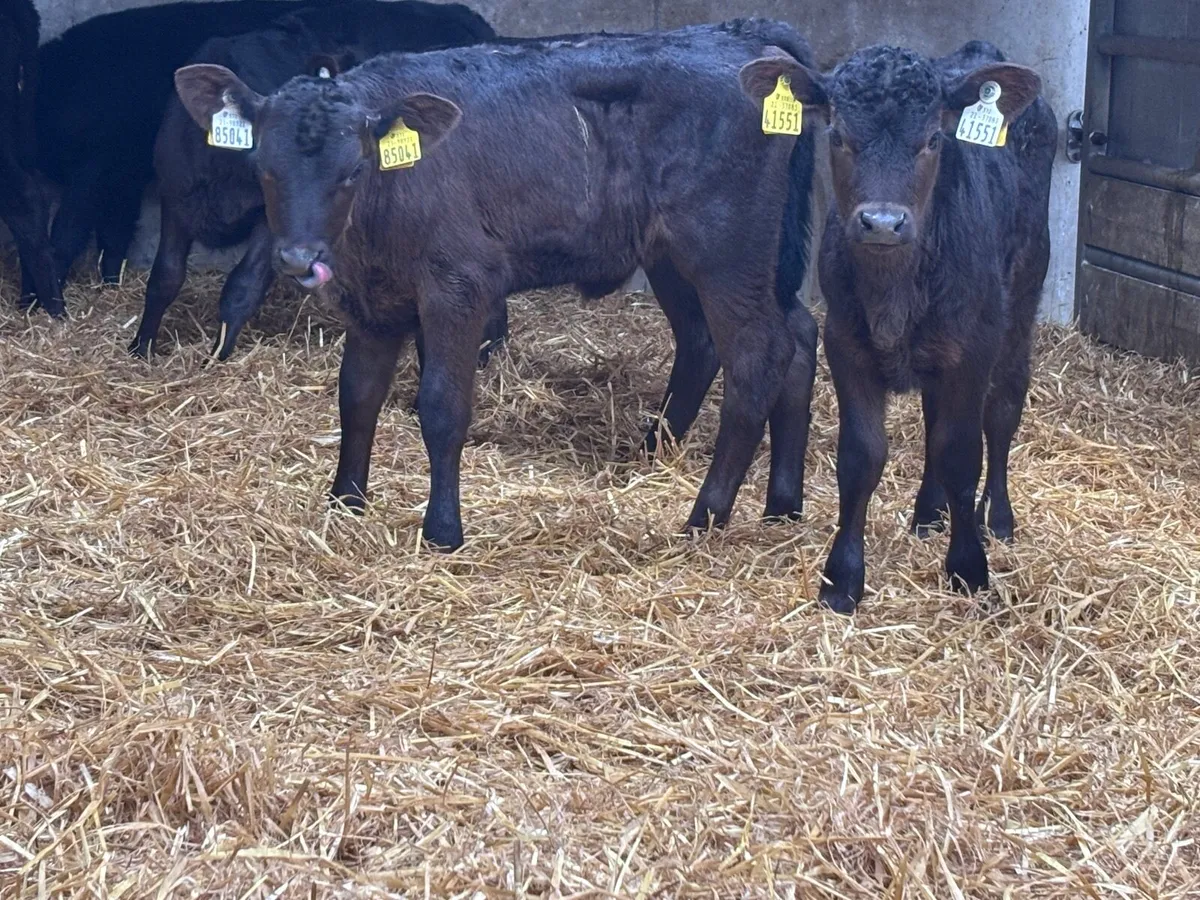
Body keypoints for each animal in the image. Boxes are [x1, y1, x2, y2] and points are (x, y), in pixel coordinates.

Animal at [129, 0, 499, 361]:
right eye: (264, 162)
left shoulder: (268, 221)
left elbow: (242, 286)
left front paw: (216, 357)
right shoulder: (177, 197)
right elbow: (165, 276)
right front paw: (141, 348)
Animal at [172, 19, 820, 550]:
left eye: (354, 169)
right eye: (262, 168)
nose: (299, 257)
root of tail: (740, 37)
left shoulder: (459, 285)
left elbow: (441, 405)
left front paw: (442, 530)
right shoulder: (371, 299)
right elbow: (356, 394)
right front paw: (345, 503)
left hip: (726, 247)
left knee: (758, 355)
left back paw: (704, 517)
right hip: (690, 255)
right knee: (774, 336)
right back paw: (768, 501)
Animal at [740, 41, 1056, 613]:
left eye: (933, 140)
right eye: (837, 136)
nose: (882, 223)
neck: (894, 292)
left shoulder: (973, 347)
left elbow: (962, 453)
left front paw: (969, 569)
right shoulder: (846, 344)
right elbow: (862, 456)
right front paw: (841, 579)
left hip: (1021, 300)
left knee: (1003, 409)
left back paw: (996, 518)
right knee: (935, 418)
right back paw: (930, 513)